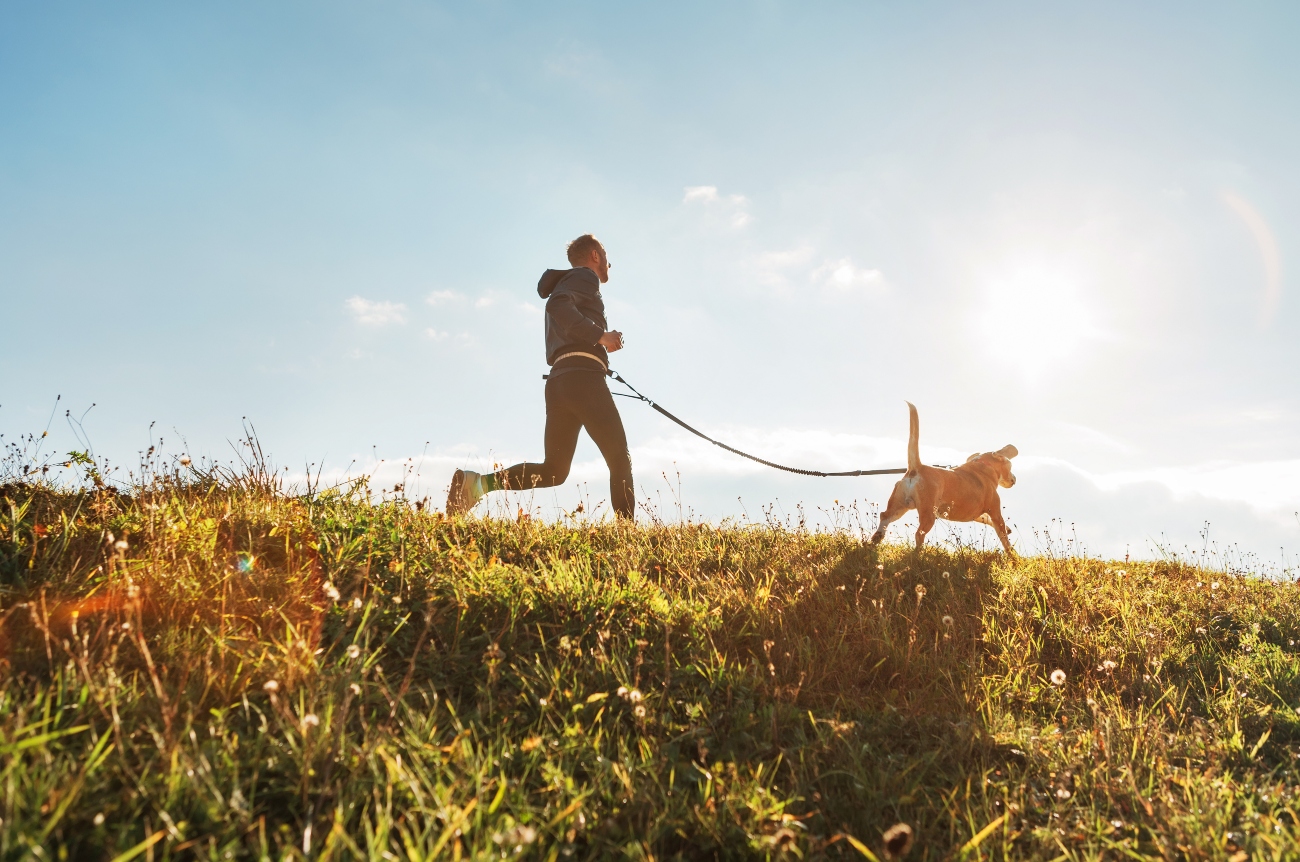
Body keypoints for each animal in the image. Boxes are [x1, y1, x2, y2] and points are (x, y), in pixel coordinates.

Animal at [868, 403, 1019, 553]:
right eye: (1010, 465)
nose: (1015, 478)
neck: (982, 465)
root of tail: (917, 467)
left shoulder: (978, 515)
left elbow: (987, 520)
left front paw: (1008, 530)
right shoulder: (995, 512)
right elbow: (1004, 538)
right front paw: (1012, 555)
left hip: (899, 506)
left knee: (884, 517)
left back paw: (875, 540)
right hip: (928, 513)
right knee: (919, 534)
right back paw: (918, 554)